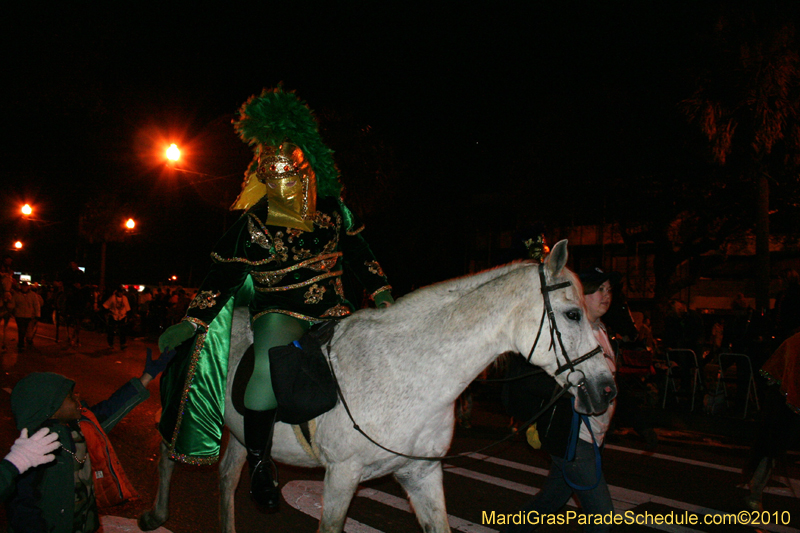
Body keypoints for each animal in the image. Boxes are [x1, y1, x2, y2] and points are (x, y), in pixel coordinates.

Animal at [139, 240, 612, 532]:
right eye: (572, 314)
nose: (606, 390)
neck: (409, 373)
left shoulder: (421, 474)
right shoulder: (341, 476)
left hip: (240, 434)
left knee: (226, 479)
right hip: (183, 412)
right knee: (167, 452)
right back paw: (155, 513)